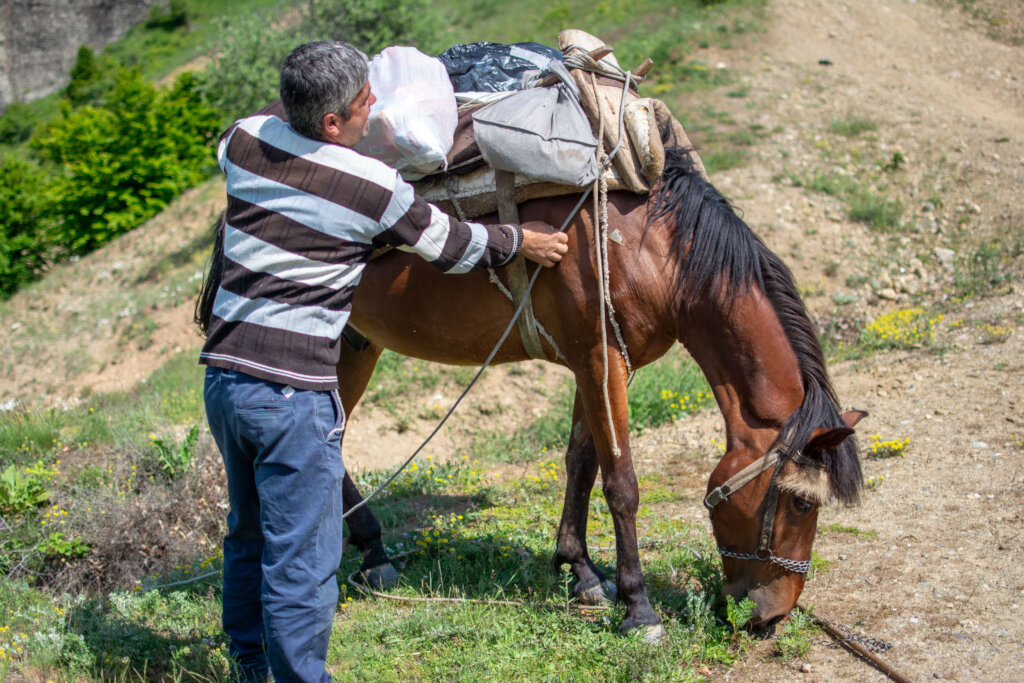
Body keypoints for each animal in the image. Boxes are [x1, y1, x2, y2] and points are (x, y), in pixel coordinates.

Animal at [195, 147, 860, 638]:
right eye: (801, 504)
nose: (773, 617)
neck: (654, 245)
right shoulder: (599, 358)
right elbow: (622, 483)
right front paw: (638, 606)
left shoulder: (601, 363)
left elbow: (582, 462)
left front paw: (580, 571)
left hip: (355, 344)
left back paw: (375, 551)